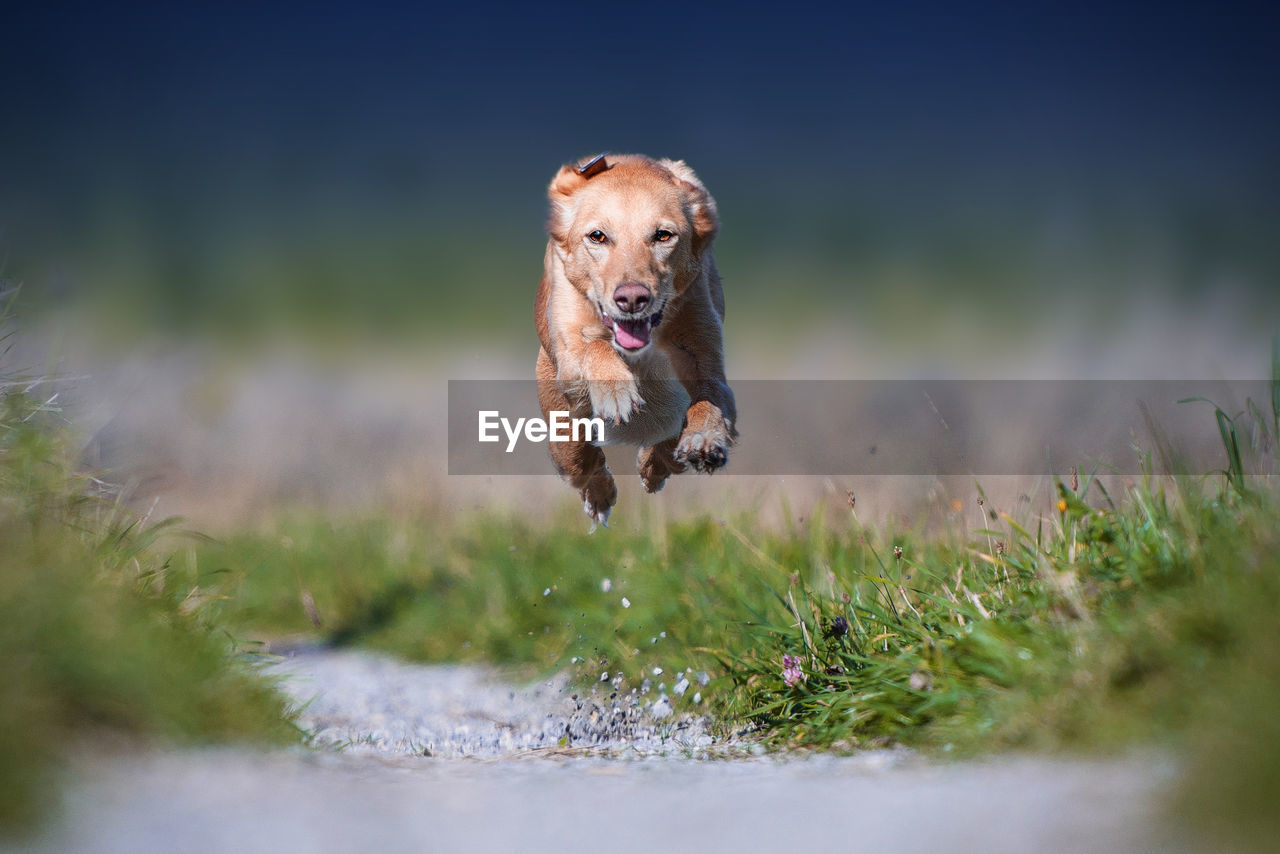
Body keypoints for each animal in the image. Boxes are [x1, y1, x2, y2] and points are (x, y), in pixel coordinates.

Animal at [532, 155, 737, 527]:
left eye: (663, 235)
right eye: (597, 236)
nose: (631, 299)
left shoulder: (707, 362)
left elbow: (706, 402)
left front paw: (701, 441)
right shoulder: (570, 347)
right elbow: (594, 347)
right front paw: (617, 394)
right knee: (575, 454)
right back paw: (599, 493)